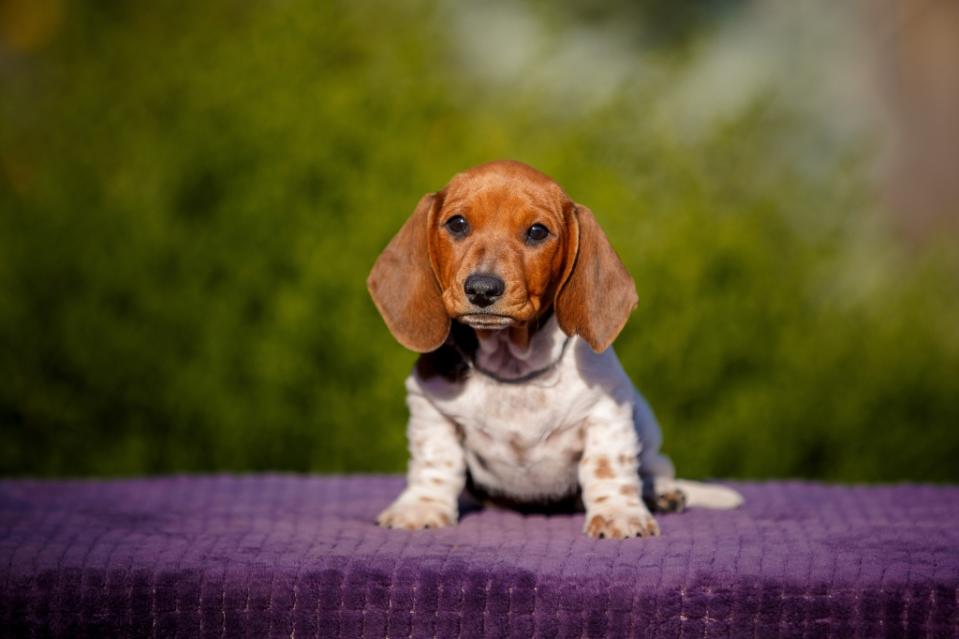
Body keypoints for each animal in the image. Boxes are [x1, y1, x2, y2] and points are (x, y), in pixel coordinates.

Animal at [370, 161, 744, 540]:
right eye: (457, 223)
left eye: (537, 231)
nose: (482, 289)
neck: (512, 365)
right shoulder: (430, 406)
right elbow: (435, 461)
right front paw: (422, 506)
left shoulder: (608, 409)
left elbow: (608, 465)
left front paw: (619, 514)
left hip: (648, 424)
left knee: (655, 466)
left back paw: (663, 492)